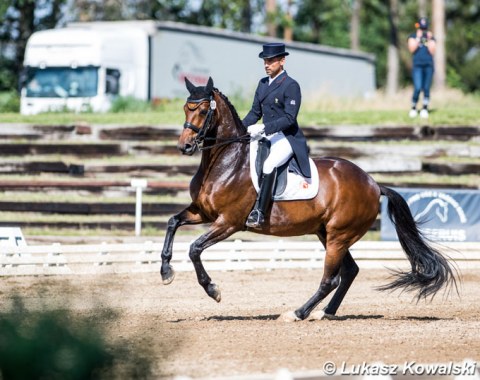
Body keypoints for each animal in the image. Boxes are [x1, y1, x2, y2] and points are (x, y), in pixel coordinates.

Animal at [159, 77, 456, 320]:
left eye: (202, 110)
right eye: (186, 108)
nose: (185, 146)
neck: (226, 160)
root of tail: (373, 183)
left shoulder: (229, 222)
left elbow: (194, 248)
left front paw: (213, 289)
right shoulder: (202, 212)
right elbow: (172, 222)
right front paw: (165, 272)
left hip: (339, 236)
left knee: (331, 279)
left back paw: (298, 313)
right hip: (327, 233)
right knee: (350, 271)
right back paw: (326, 312)